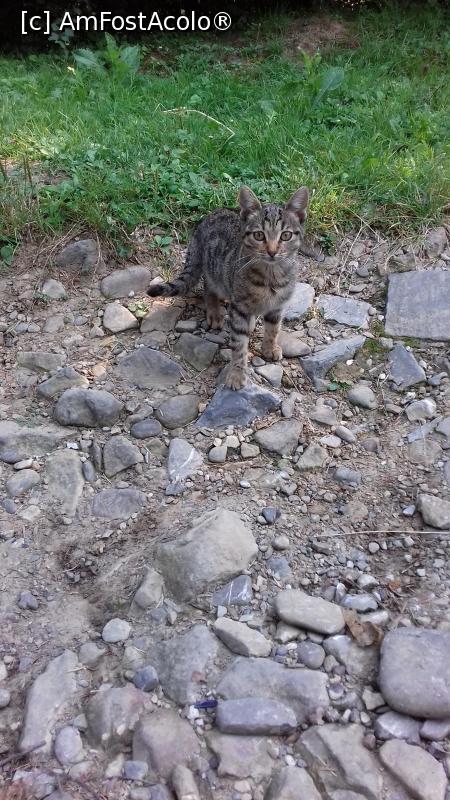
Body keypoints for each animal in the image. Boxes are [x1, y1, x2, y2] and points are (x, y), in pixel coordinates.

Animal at [148, 185, 309, 389]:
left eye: (286, 235)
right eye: (259, 235)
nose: (272, 252)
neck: (271, 277)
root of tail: (207, 218)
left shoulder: (277, 306)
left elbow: (273, 329)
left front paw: (269, 348)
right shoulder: (239, 308)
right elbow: (239, 344)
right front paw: (237, 373)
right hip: (213, 268)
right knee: (208, 287)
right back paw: (215, 311)